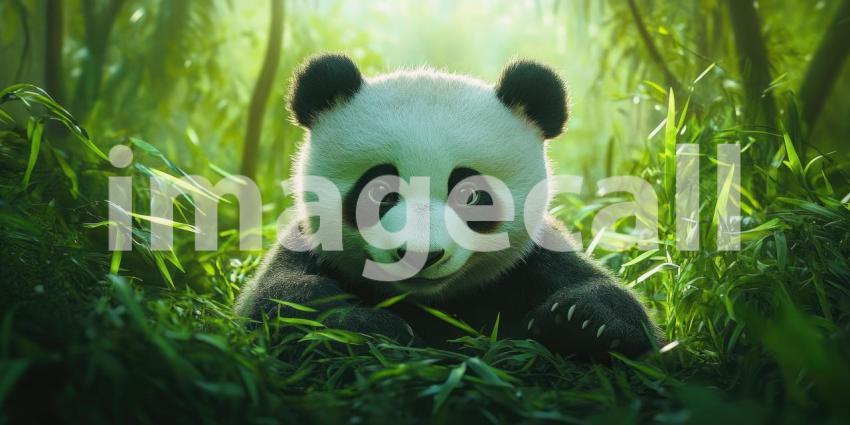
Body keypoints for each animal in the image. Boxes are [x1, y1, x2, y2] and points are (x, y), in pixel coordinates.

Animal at [236, 53, 658, 360]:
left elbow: (622, 308)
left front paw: (581, 321)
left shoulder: (528, 261)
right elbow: (277, 300)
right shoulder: (309, 249)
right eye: (379, 190)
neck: (428, 301)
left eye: (471, 195)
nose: (420, 255)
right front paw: (371, 327)